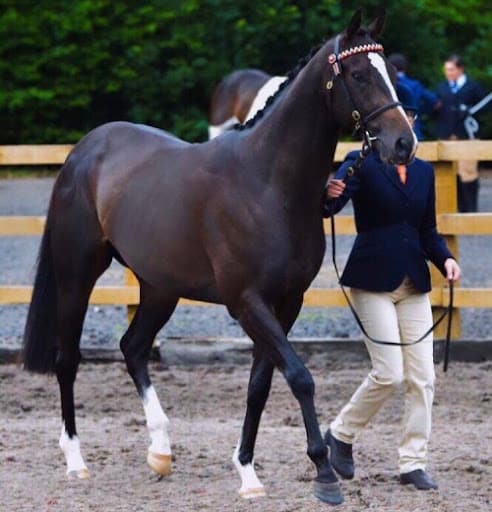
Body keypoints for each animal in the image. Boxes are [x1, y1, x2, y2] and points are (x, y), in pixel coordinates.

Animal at [23, 10, 416, 506]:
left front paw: (247, 471)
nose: (404, 143)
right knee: (68, 359)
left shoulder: (286, 303)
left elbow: (260, 384)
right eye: (360, 74)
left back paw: (161, 451)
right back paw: (76, 461)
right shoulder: (246, 302)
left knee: (133, 347)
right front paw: (324, 472)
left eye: (392, 75)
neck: (266, 183)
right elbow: (300, 376)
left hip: (159, 288)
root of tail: (84, 151)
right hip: (78, 276)